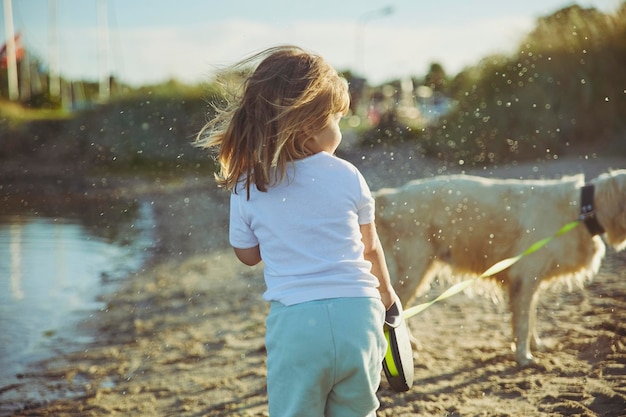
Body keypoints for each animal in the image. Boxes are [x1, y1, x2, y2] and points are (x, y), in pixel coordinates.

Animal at [376, 169, 624, 364]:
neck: (582, 208)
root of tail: (387, 196)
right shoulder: (525, 276)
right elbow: (523, 322)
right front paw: (524, 357)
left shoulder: (528, 282)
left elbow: (530, 318)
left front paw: (536, 345)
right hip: (410, 271)